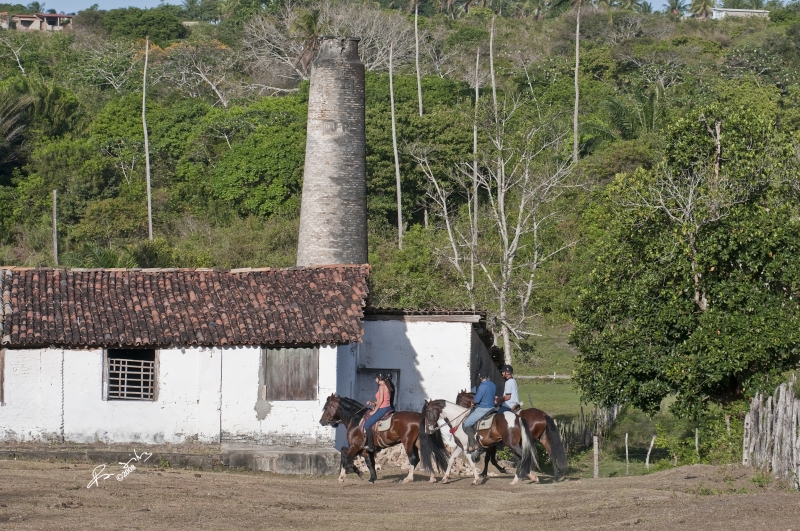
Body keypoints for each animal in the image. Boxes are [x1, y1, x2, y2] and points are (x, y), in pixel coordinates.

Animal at [320, 394, 450, 486]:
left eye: (326, 407)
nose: (321, 422)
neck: (356, 419)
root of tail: (420, 416)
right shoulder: (365, 450)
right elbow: (370, 464)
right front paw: (371, 478)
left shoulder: (355, 446)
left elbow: (346, 459)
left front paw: (342, 477)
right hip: (417, 442)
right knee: (427, 456)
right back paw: (432, 478)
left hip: (407, 442)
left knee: (413, 459)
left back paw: (408, 478)